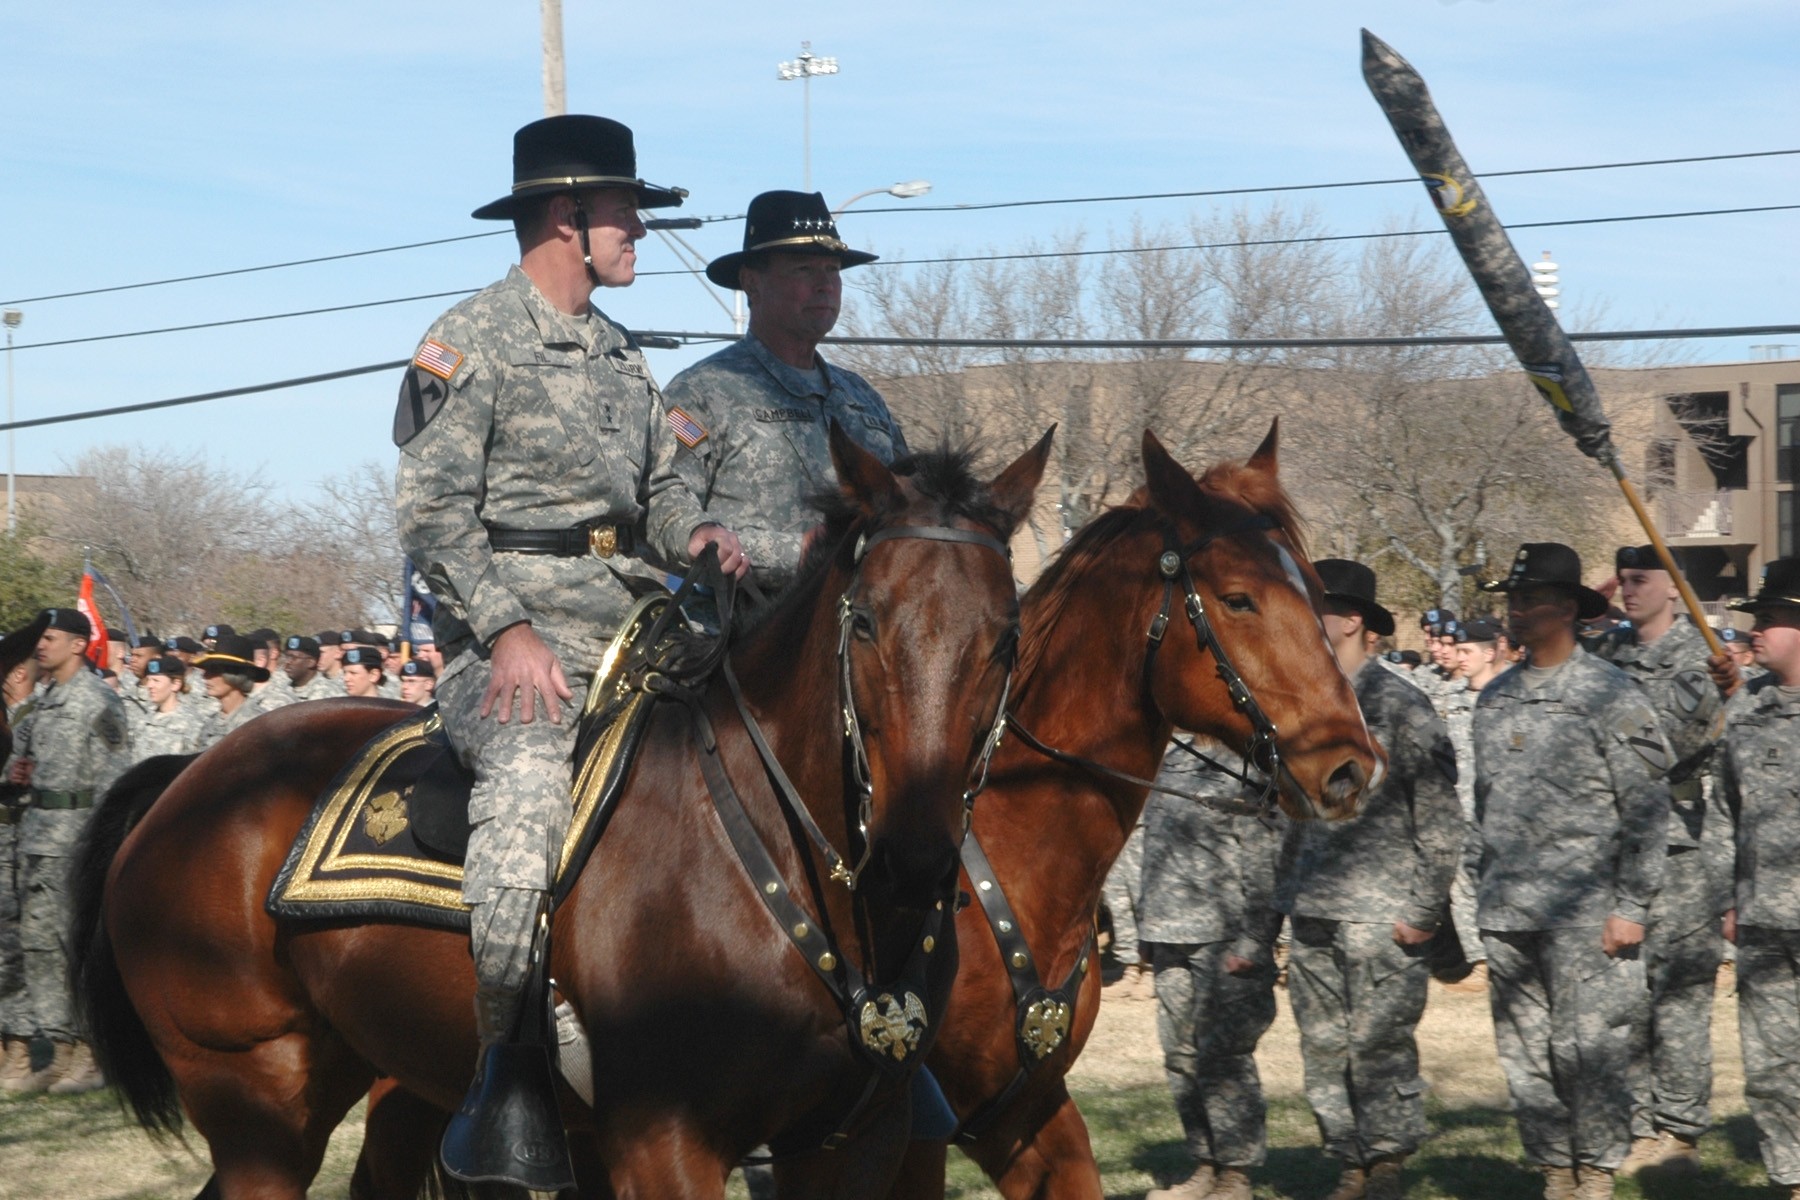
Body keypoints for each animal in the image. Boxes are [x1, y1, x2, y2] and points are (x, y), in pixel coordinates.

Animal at [70, 429, 1051, 1200]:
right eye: (866, 622)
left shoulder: (852, 1144)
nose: (917, 858)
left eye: (1007, 634)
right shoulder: (664, 1143)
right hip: (256, 1099)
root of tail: (189, 777)